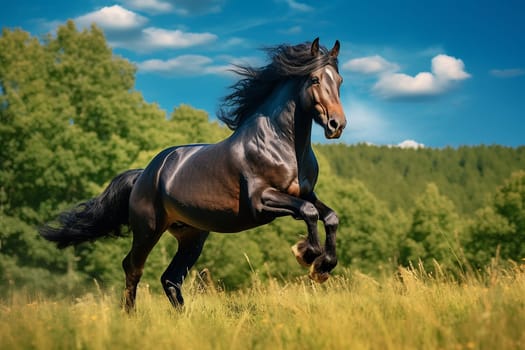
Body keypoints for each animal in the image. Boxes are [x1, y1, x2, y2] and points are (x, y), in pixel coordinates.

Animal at [39, 37, 346, 312]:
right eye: (315, 80)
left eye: (340, 81)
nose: (337, 125)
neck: (280, 145)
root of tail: (144, 174)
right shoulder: (262, 201)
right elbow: (308, 212)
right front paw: (307, 255)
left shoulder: (306, 193)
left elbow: (329, 216)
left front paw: (324, 266)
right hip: (148, 229)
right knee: (133, 267)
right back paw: (129, 316)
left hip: (192, 236)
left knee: (170, 278)